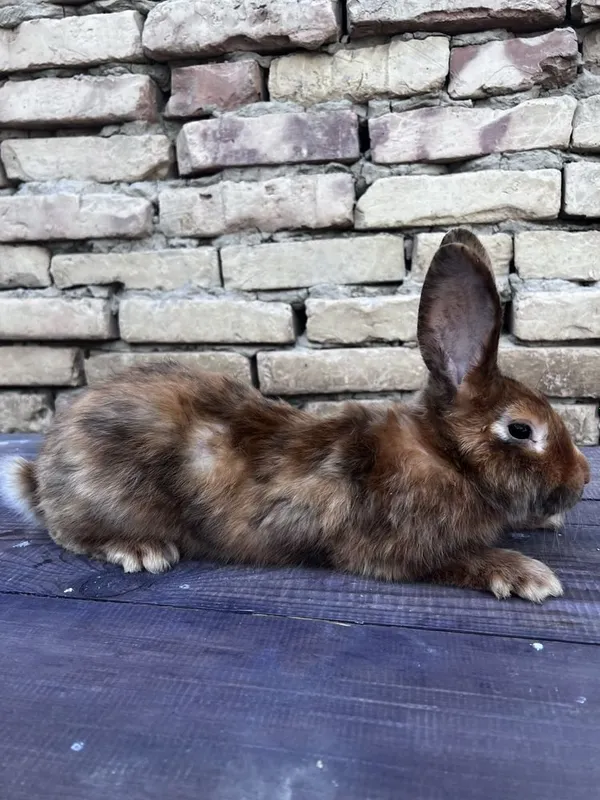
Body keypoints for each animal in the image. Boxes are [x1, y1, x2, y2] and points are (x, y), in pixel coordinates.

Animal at [2, 228, 590, 602]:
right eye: (521, 430)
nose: (583, 479)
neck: (446, 455)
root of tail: (41, 472)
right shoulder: (396, 548)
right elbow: (454, 560)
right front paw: (528, 576)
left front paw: (546, 523)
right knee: (70, 533)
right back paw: (140, 549)